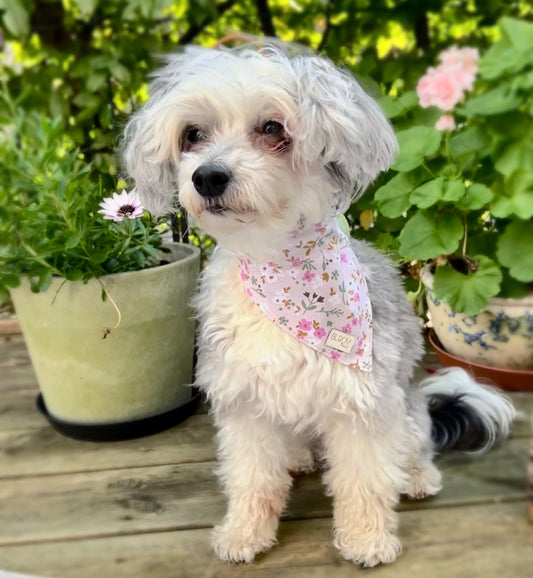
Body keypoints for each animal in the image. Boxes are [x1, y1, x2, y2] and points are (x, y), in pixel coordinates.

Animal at [122, 46, 512, 568]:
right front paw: (244, 532)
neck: (280, 268)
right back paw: (299, 458)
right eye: (193, 134)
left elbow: (365, 481)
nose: (207, 177)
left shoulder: (364, 404)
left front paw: (366, 540)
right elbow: (252, 478)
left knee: (414, 442)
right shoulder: (246, 405)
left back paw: (416, 477)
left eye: (272, 128)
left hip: (403, 409)